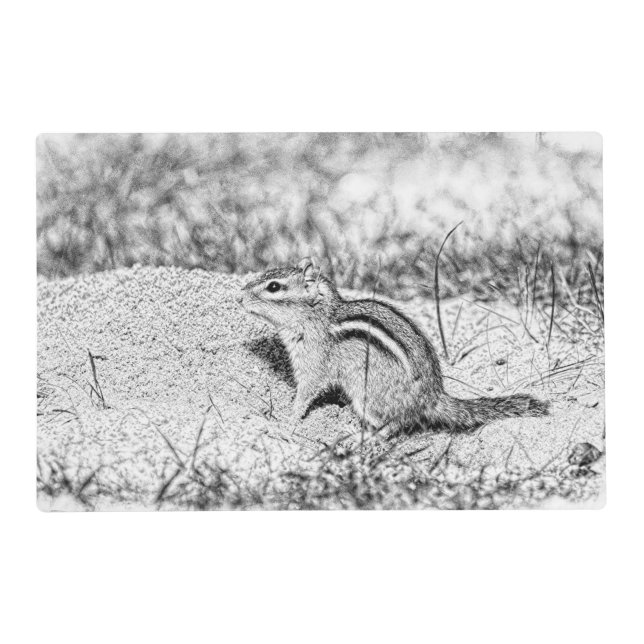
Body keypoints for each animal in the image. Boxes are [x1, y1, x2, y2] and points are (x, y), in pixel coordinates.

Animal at [240, 259, 549, 438]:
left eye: (274, 286)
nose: (239, 297)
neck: (318, 316)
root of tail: (432, 398)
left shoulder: (313, 364)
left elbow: (305, 394)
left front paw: (287, 420)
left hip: (366, 395)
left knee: (397, 424)